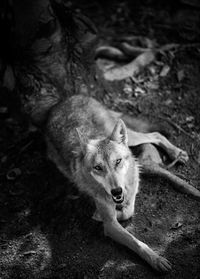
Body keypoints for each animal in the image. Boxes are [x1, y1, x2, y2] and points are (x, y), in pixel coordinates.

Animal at [45, 95, 191, 272]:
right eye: (98, 167)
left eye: (118, 161)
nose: (116, 191)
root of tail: (64, 100)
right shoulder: (110, 224)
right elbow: (136, 241)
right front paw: (156, 259)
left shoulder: (131, 190)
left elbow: (130, 212)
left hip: (130, 137)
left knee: (155, 134)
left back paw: (177, 153)